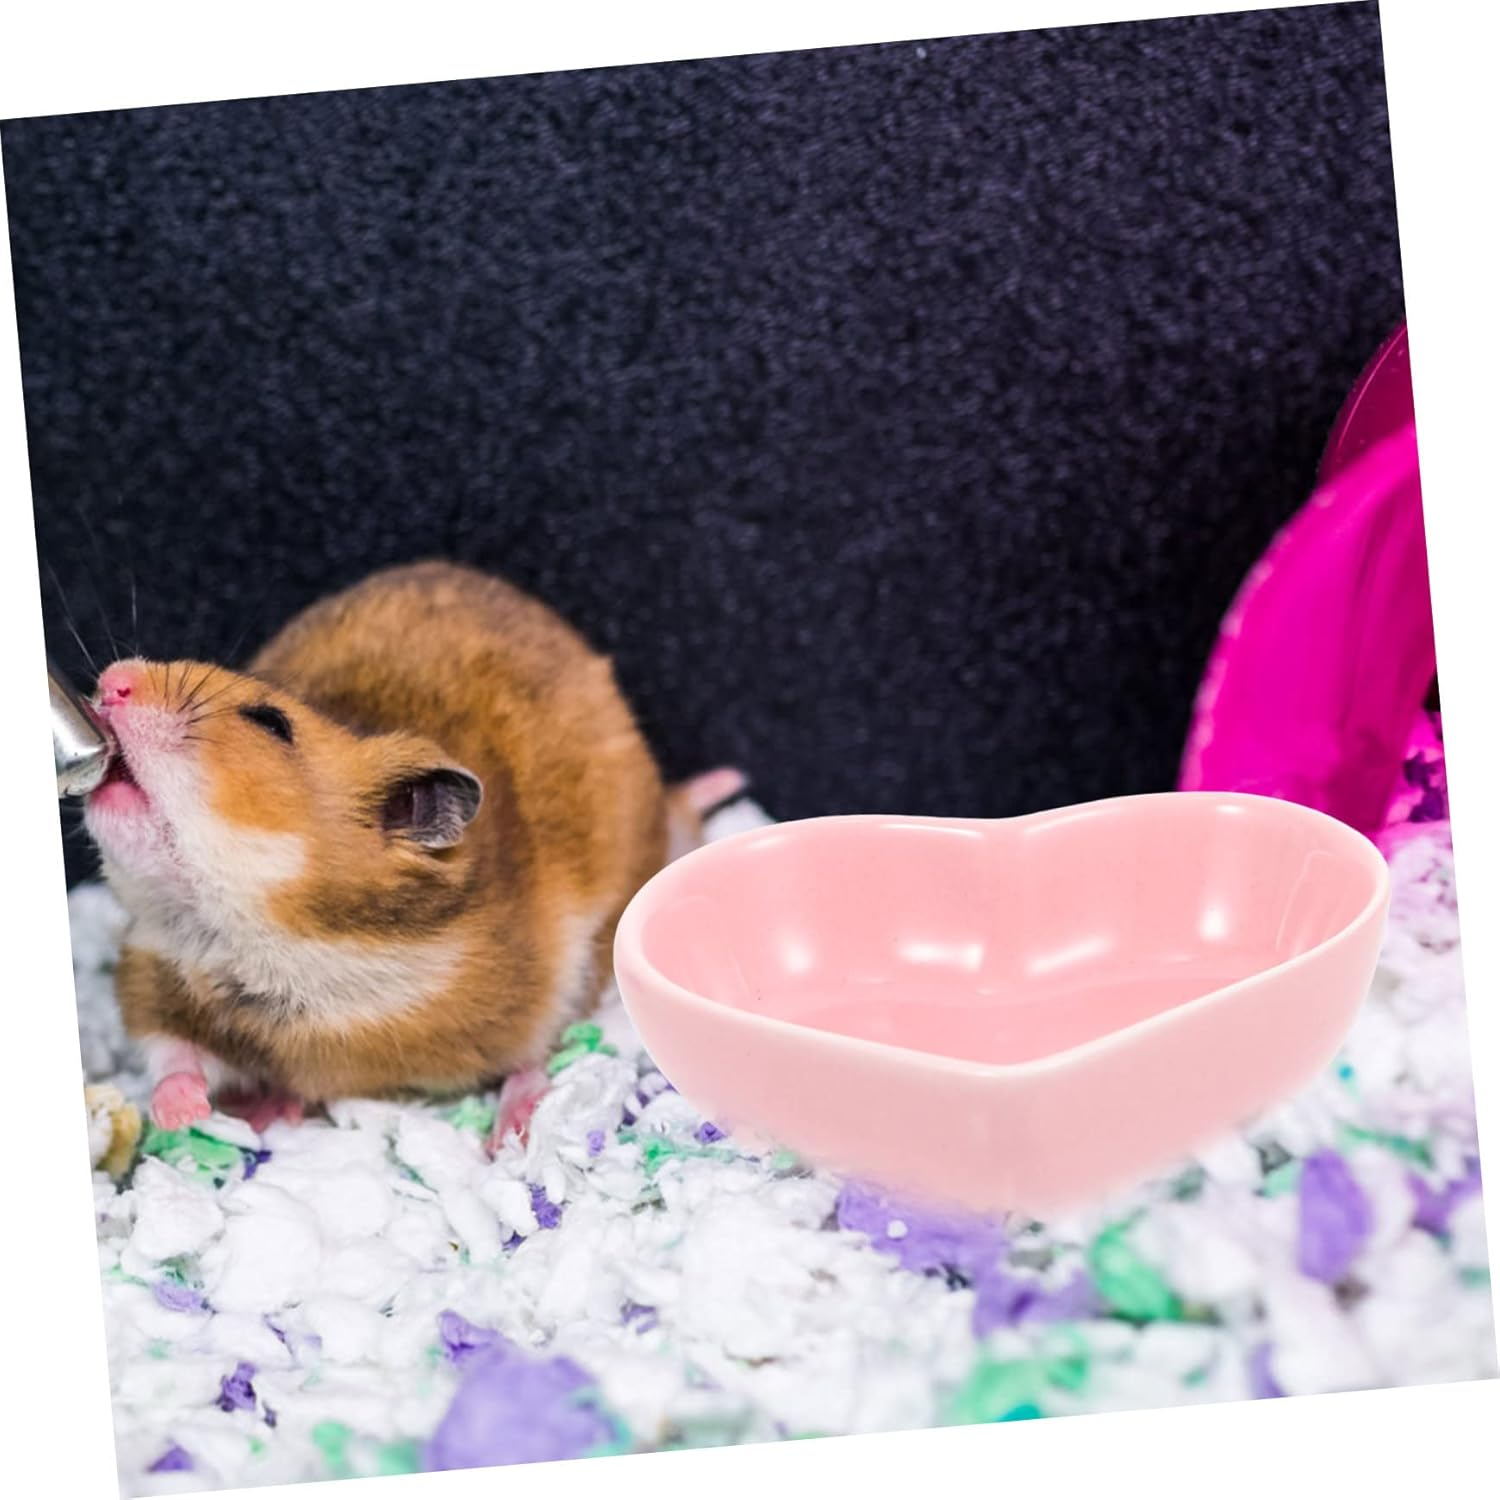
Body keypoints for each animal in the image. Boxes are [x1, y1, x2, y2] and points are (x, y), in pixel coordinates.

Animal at [81, 560, 746, 1146]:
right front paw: (184, 1116)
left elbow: (533, 1051)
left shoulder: (546, 979)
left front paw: (512, 1137)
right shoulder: (151, 973)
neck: (274, 939)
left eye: (270, 721)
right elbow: (172, 1053)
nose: (111, 682)